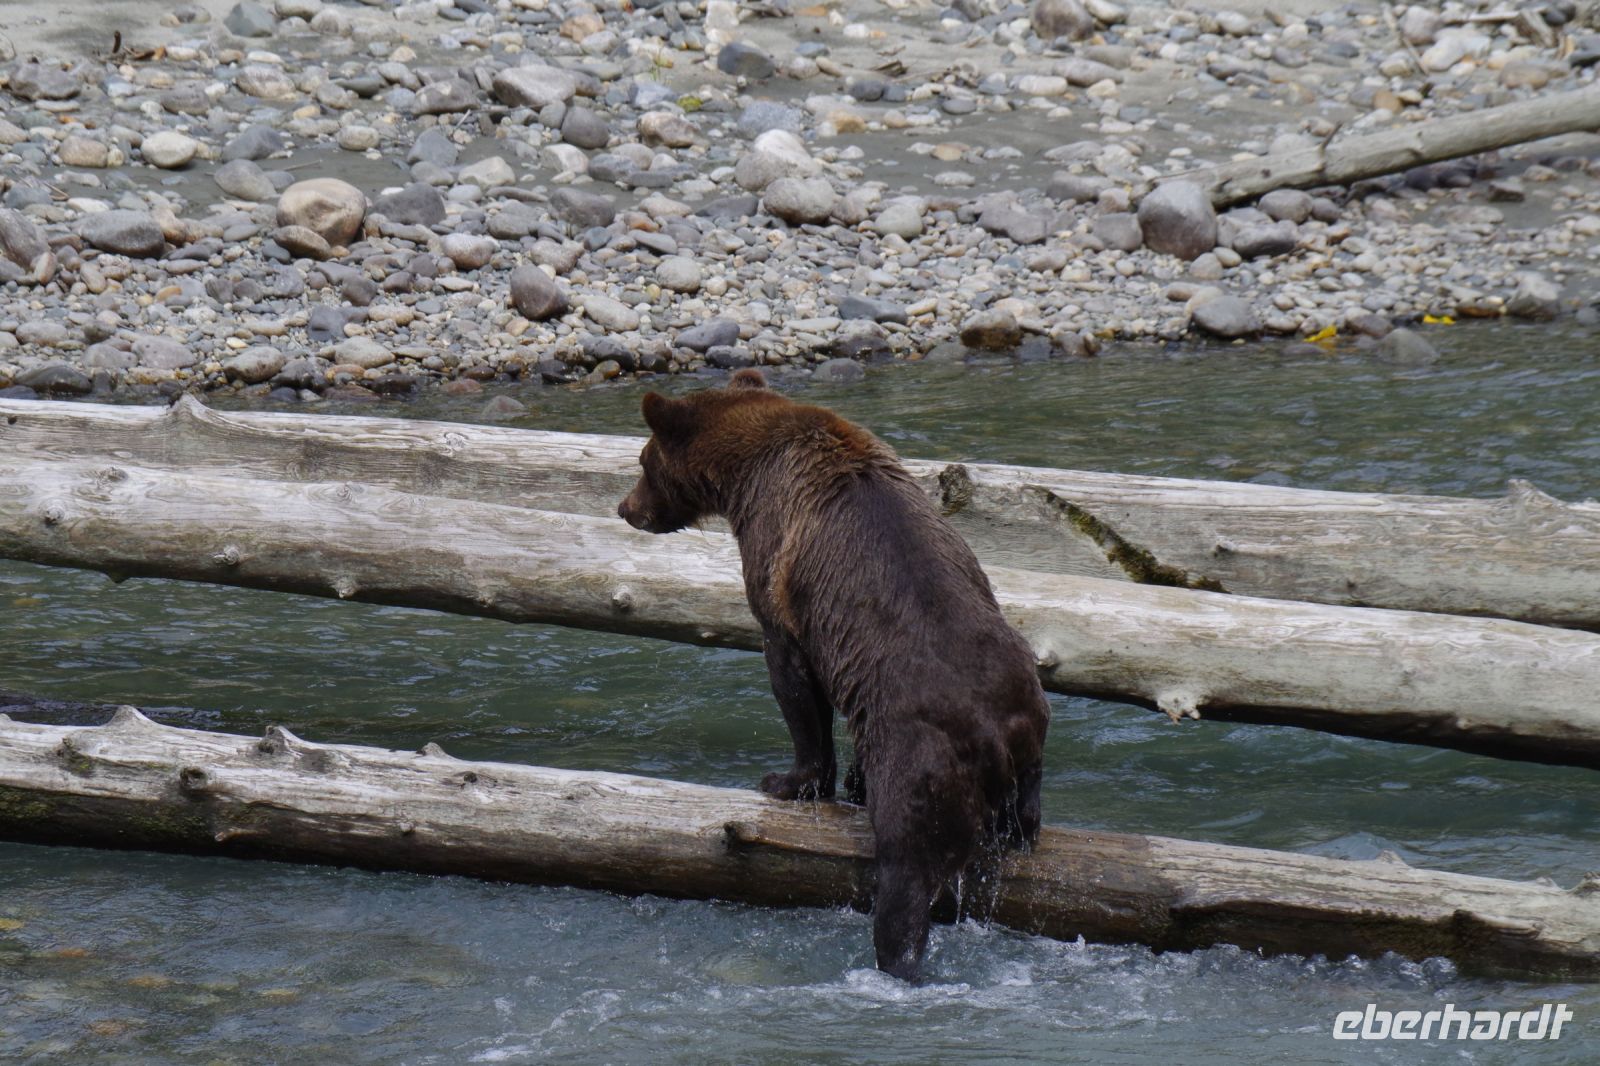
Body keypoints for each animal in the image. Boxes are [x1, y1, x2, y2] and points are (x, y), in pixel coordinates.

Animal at [617, 369, 1050, 982]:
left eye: (643, 461)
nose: (625, 507)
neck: (745, 476)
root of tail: (998, 737)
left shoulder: (780, 572)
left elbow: (795, 686)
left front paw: (790, 781)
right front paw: (847, 782)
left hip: (919, 760)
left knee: (907, 867)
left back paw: (896, 960)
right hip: (1028, 720)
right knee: (1022, 812)